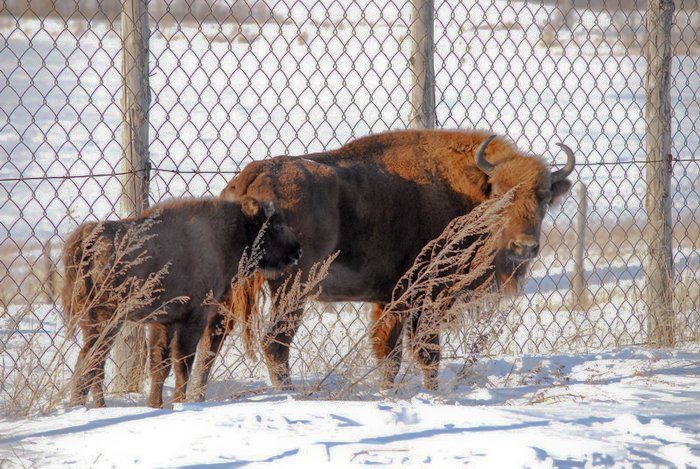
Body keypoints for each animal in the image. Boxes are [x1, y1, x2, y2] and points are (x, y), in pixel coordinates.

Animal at [61, 196, 300, 408]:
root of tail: (87, 238)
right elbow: (183, 365)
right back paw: (94, 407)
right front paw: (179, 402)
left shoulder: (164, 322)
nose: (298, 251)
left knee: (92, 362)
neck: (224, 235)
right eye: (276, 225)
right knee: (91, 360)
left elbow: (160, 365)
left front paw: (155, 405)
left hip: (93, 321)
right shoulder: (194, 317)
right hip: (108, 320)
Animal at [220, 128, 576, 388]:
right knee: (275, 343)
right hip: (292, 288)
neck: (466, 189)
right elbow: (427, 353)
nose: (524, 247)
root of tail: (253, 174)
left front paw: (387, 392)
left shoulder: (390, 300)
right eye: (501, 192)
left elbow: (389, 354)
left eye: (544, 197)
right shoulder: (426, 297)